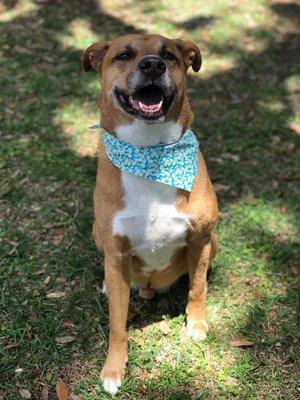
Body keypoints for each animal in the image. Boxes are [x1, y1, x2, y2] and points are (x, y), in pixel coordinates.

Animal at [82, 33, 218, 394]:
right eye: (123, 55)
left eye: (168, 55)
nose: (153, 65)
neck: (150, 154)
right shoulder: (116, 253)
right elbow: (117, 323)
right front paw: (113, 368)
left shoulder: (200, 239)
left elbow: (196, 287)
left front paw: (196, 322)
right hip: (97, 234)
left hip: (214, 242)